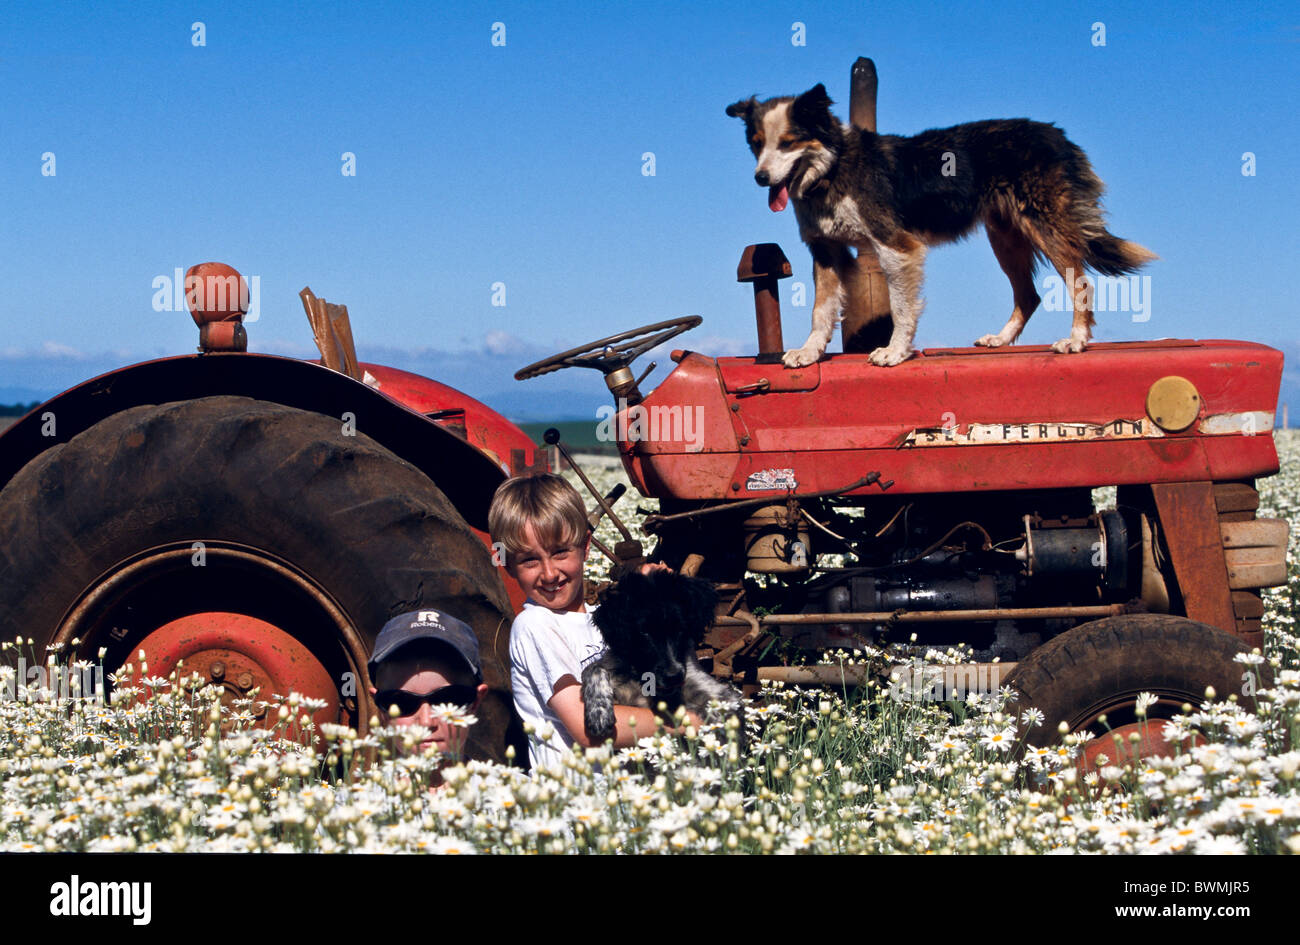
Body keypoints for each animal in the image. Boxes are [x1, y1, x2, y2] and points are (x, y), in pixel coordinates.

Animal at [582, 569, 743, 748]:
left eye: (680, 629)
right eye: (644, 632)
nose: (674, 677)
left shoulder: (720, 695)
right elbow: (593, 668)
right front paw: (599, 712)